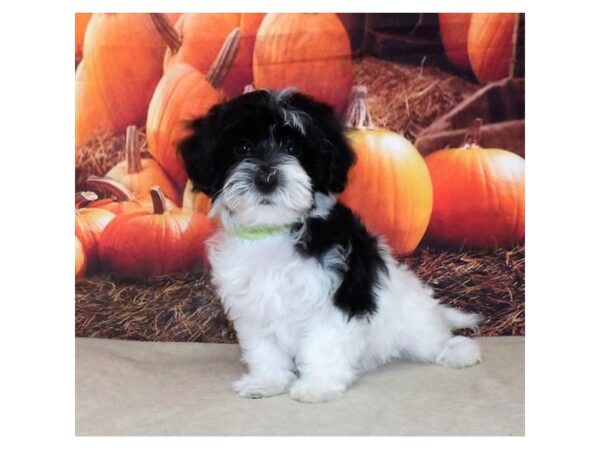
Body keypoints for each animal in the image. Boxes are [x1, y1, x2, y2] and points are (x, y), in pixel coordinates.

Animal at [179, 89, 482, 402]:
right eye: (241, 148)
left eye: (293, 148)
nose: (266, 178)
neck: (275, 231)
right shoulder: (251, 304)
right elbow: (264, 347)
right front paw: (267, 381)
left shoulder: (335, 295)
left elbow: (324, 342)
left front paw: (318, 386)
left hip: (412, 317)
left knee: (430, 337)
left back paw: (457, 351)